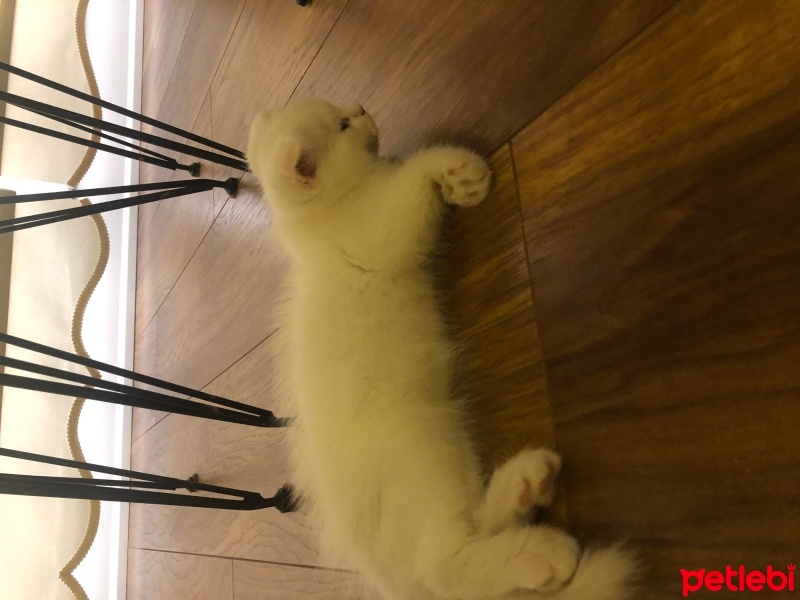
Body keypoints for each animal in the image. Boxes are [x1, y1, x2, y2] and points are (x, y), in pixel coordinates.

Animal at [247, 101, 636, 596]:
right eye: (343, 125)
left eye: (340, 110)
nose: (361, 107)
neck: (320, 233)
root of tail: (391, 580)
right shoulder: (378, 235)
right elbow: (413, 176)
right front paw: (454, 165)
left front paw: (460, 182)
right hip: (425, 451)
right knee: (446, 564)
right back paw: (540, 552)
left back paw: (524, 489)